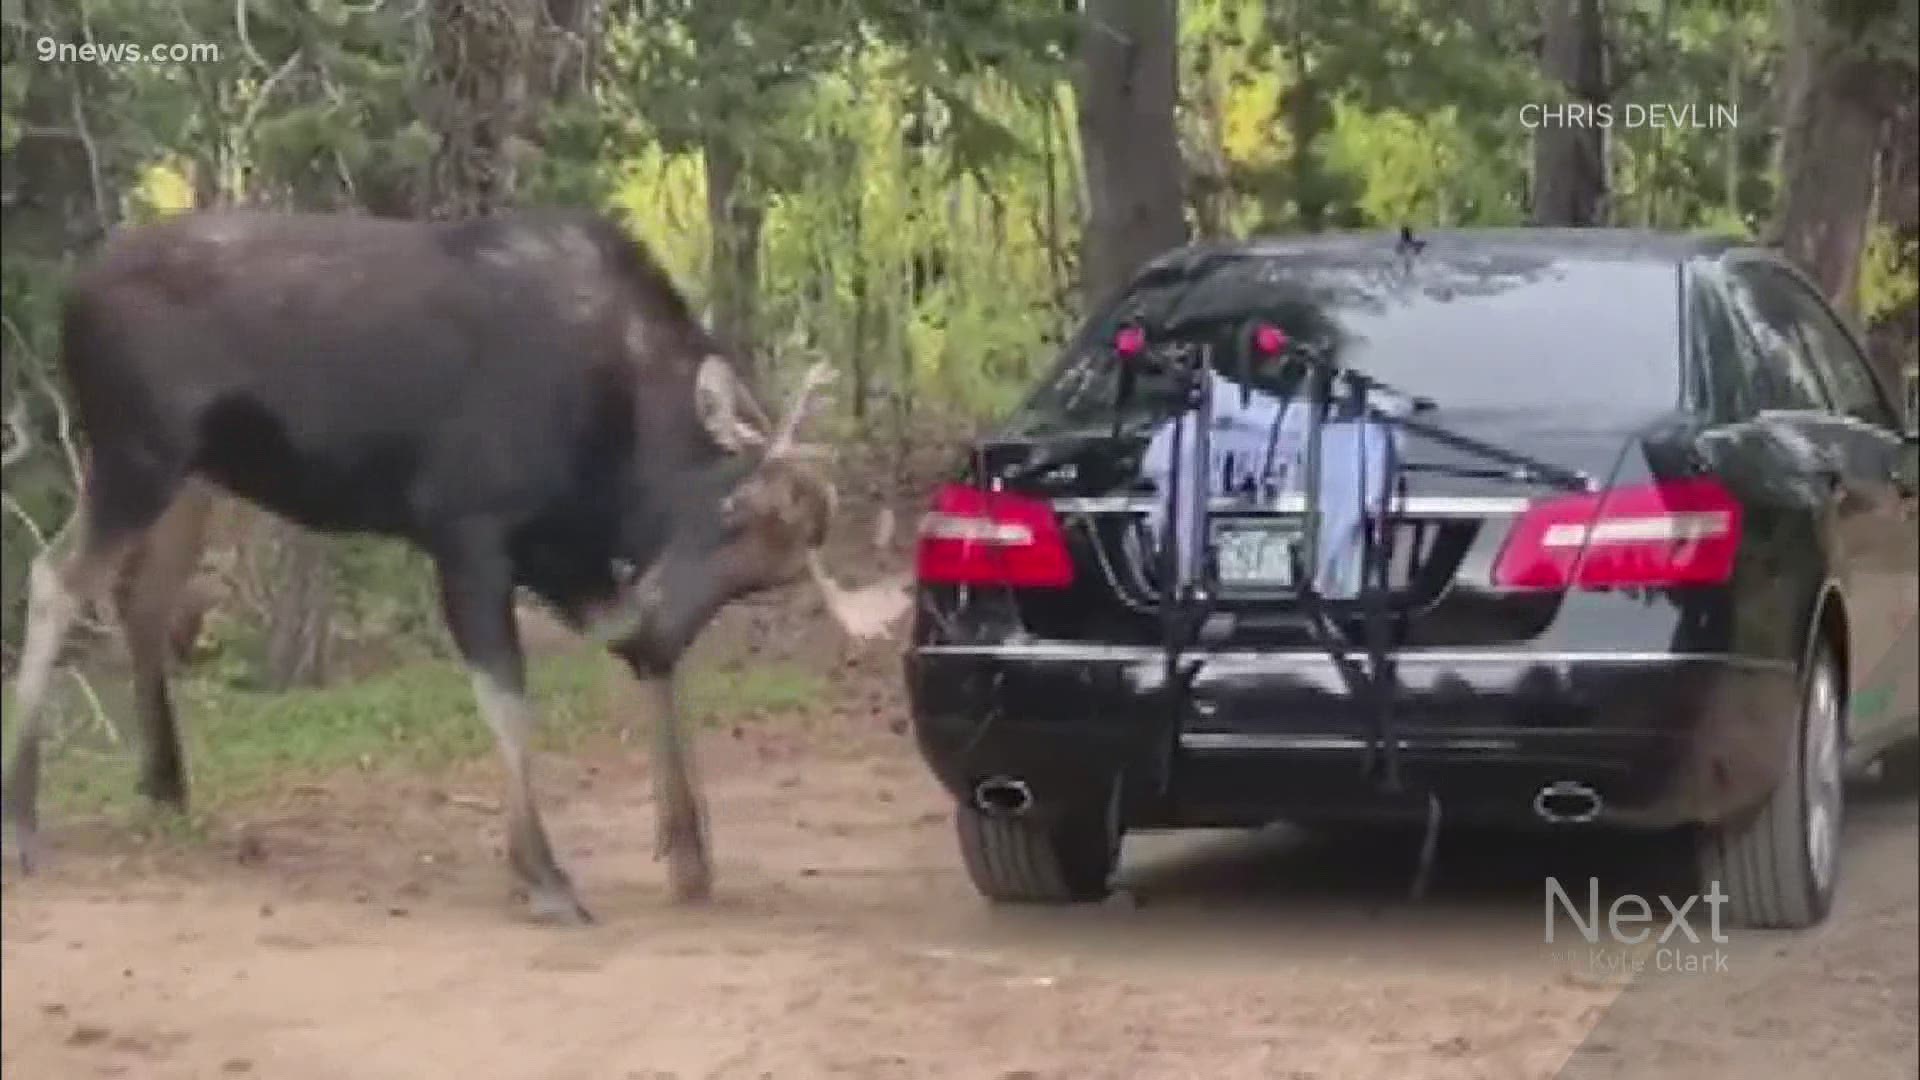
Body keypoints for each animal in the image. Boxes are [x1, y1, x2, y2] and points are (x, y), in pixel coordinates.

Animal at [0, 205, 906, 922]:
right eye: (730, 512)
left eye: (766, 580)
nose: (662, 621)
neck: (615, 449)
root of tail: (71, 299)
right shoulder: (467, 529)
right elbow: (509, 698)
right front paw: (542, 873)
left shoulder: (564, 554)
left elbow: (643, 667)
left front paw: (688, 849)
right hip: (136, 452)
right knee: (53, 580)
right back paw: (22, 818)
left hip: (195, 474)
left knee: (141, 598)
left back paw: (164, 783)